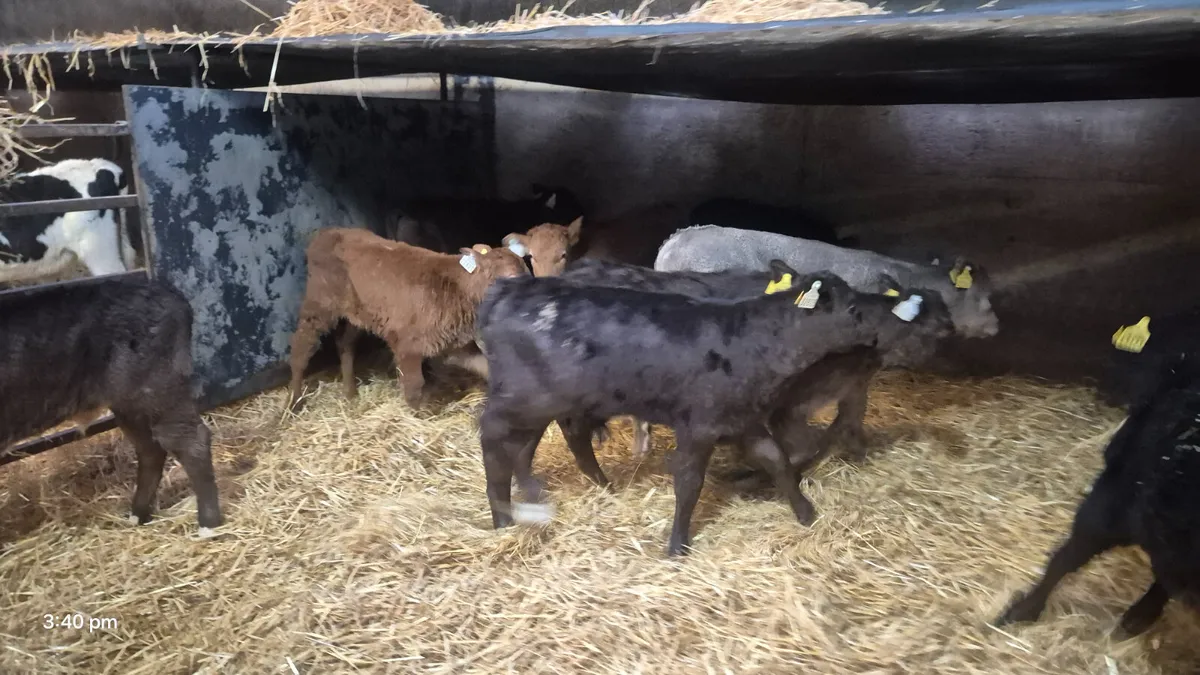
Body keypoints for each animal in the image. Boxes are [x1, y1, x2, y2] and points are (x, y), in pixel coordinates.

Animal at [0, 275, 222, 535]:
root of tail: (168, 292)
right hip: (128, 404)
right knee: (150, 448)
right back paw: (136, 515)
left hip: (159, 388)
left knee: (190, 441)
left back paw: (207, 526)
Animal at [286, 228, 528, 412]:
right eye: (504, 280)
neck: (458, 289)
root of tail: (326, 232)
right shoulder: (406, 344)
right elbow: (413, 387)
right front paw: (417, 418)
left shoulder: (453, 344)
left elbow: (486, 367)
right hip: (319, 303)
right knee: (301, 347)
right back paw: (294, 402)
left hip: (356, 313)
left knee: (345, 345)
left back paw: (350, 393)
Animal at [474, 270, 953, 556]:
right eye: (852, 308)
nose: (888, 321)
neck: (749, 341)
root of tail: (505, 290)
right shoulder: (699, 425)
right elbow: (689, 483)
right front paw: (677, 544)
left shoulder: (744, 420)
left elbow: (778, 460)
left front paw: (804, 512)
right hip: (521, 396)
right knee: (491, 435)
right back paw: (502, 517)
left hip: (549, 401)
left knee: (531, 442)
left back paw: (546, 493)